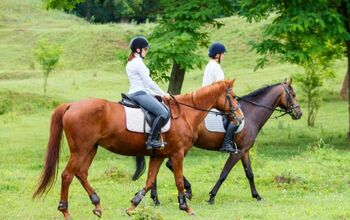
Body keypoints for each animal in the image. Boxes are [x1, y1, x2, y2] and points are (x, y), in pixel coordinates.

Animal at [32, 79, 243, 218]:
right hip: (81, 149)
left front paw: (133, 206)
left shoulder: (159, 156)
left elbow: (149, 181)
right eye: (233, 97)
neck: (184, 114)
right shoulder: (177, 154)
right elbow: (178, 181)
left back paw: (97, 205)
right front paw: (186, 207)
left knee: (81, 173)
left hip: (91, 148)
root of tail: (71, 105)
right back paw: (65, 210)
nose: (240, 118)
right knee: (67, 175)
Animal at [133, 79, 302, 206]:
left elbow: (250, 174)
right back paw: (179, 193)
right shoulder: (237, 152)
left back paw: (156, 198)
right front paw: (212, 196)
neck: (250, 115)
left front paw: (257, 196)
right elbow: (224, 174)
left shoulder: (244, 151)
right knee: (168, 164)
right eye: (293, 94)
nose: (299, 113)